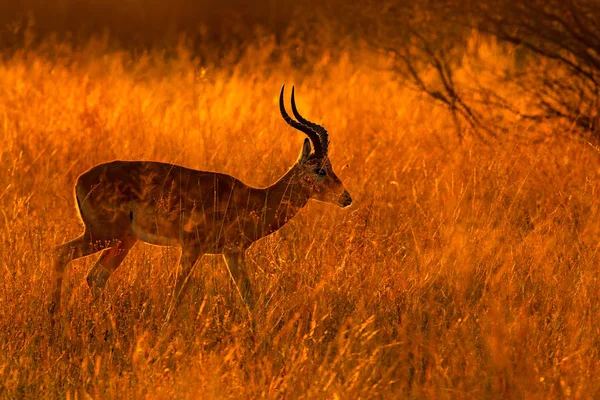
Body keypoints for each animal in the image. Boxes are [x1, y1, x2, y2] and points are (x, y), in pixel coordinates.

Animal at [51, 86, 354, 318]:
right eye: (320, 169)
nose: (346, 198)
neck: (254, 200)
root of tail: (80, 179)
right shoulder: (192, 247)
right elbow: (178, 294)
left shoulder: (232, 253)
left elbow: (248, 297)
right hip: (103, 235)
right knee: (61, 253)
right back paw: (54, 317)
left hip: (124, 240)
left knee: (96, 276)